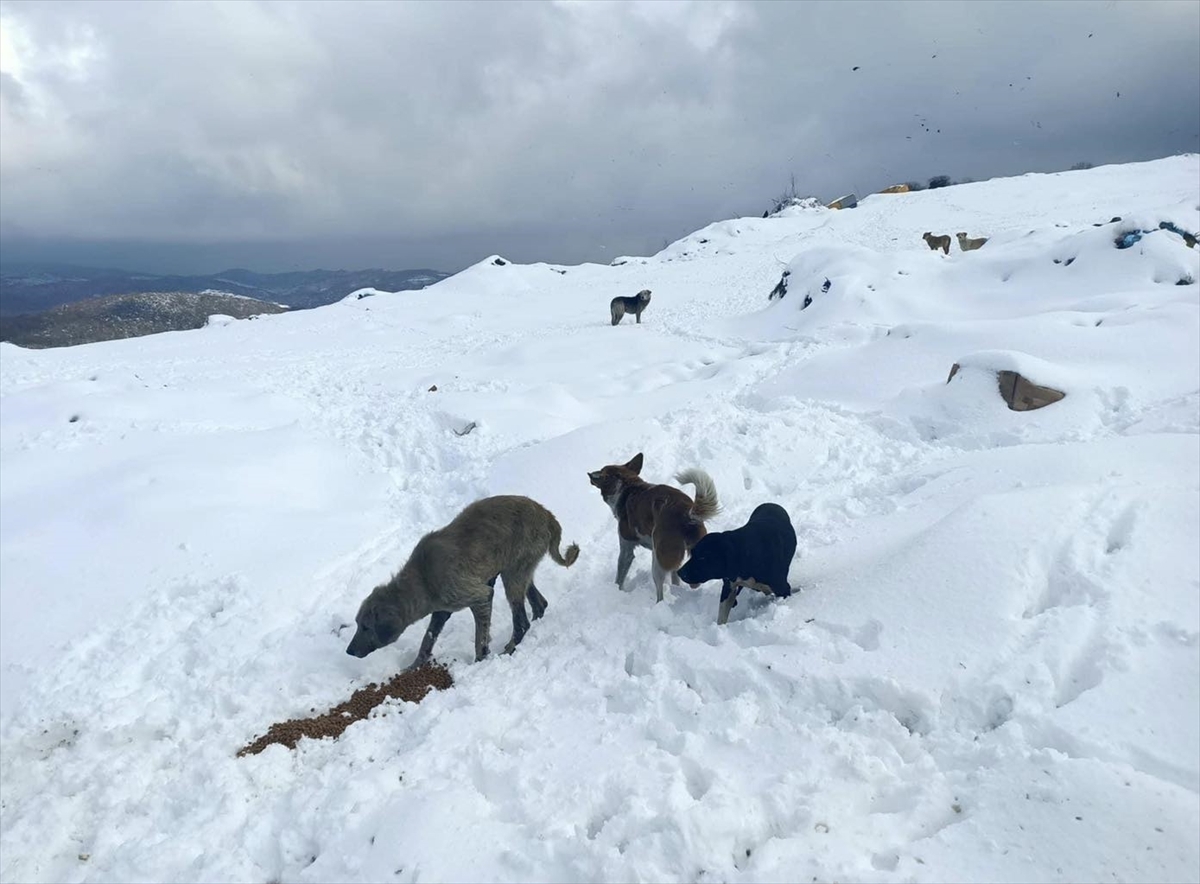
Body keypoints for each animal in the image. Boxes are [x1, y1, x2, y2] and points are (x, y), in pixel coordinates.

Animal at [345, 496, 578, 666]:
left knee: (522, 622)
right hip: (515, 571)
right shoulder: (442, 610)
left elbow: (480, 638)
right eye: (357, 624)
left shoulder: (480, 595)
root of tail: (547, 515)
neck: (423, 578)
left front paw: (479, 662)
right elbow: (428, 637)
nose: (349, 651)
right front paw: (415, 665)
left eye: (366, 627)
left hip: (514, 575)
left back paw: (511, 648)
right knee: (539, 604)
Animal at [585, 450, 715, 604]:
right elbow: (675, 576)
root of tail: (688, 513)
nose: (591, 475)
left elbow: (620, 577)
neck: (626, 485)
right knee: (692, 580)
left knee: (660, 591)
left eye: (602, 470)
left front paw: (616, 591)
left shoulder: (626, 548)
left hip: (658, 558)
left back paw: (659, 604)